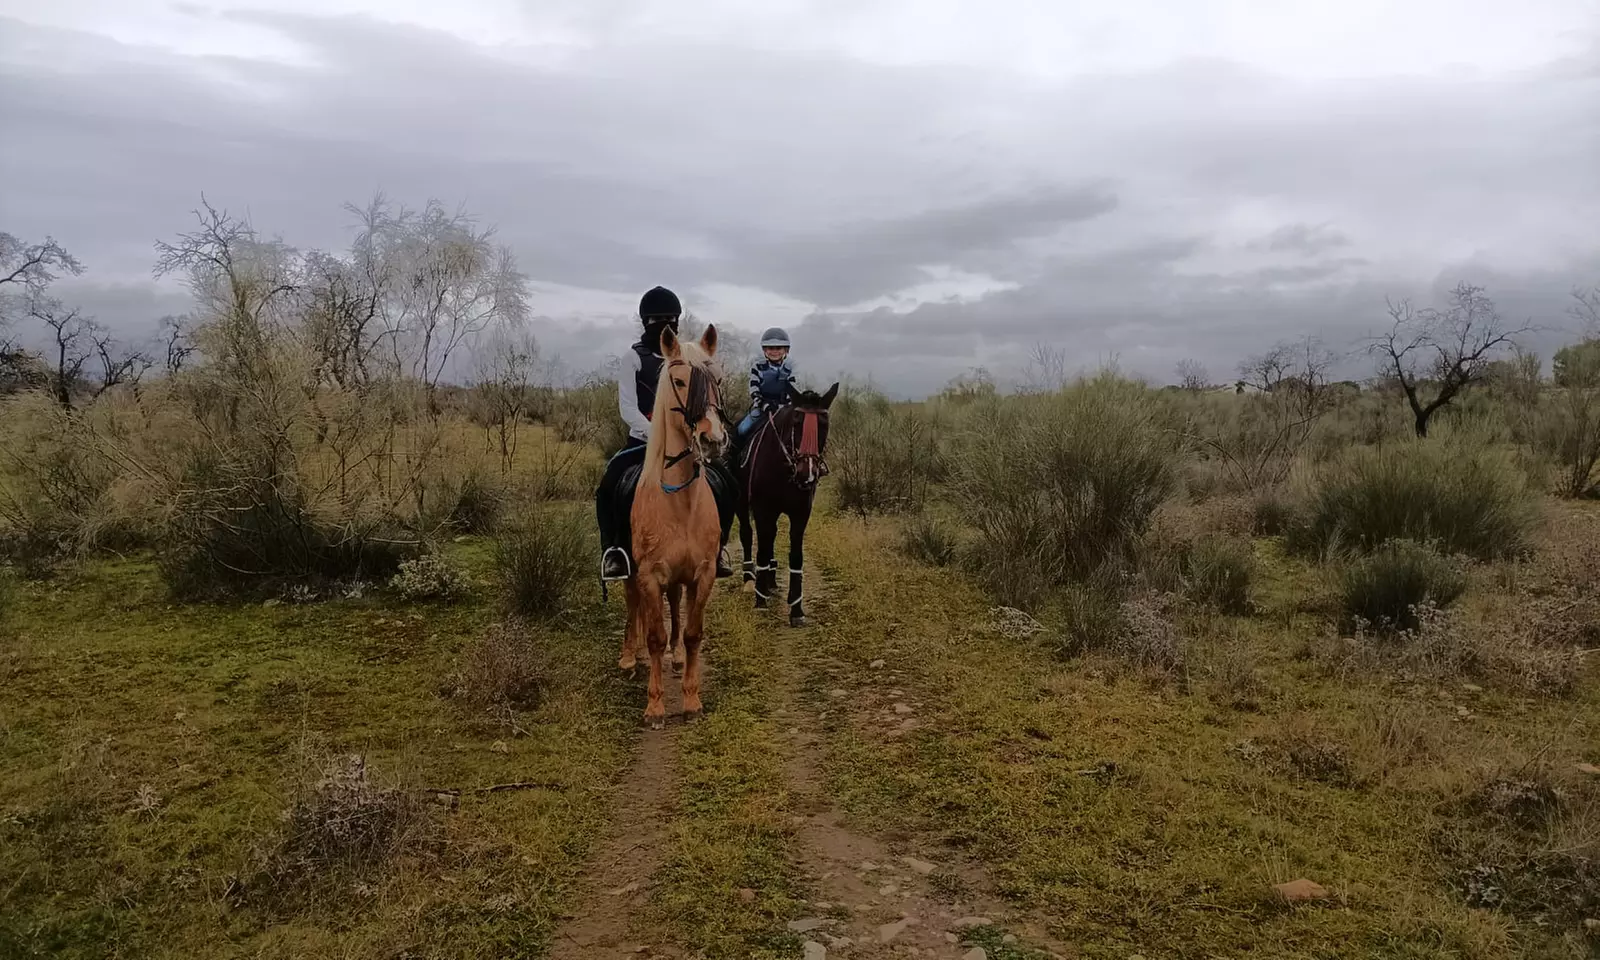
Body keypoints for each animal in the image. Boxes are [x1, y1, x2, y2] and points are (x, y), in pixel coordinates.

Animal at [615, 323, 728, 729]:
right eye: (679, 381)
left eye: (718, 380)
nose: (712, 439)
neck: (680, 505)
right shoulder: (648, 574)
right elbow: (654, 636)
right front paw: (655, 706)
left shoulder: (703, 573)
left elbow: (692, 633)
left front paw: (692, 701)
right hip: (631, 570)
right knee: (633, 604)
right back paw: (629, 657)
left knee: (675, 605)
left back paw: (676, 659)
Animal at [734, 383, 839, 627]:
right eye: (797, 422)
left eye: (824, 424)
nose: (806, 473)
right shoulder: (763, 509)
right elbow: (761, 550)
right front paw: (760, 600)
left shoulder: (800, 514)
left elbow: (795, 556)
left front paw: (796, 608)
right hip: (742, 504)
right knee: (747, 535)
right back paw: (750, 580)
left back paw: (770, 581)